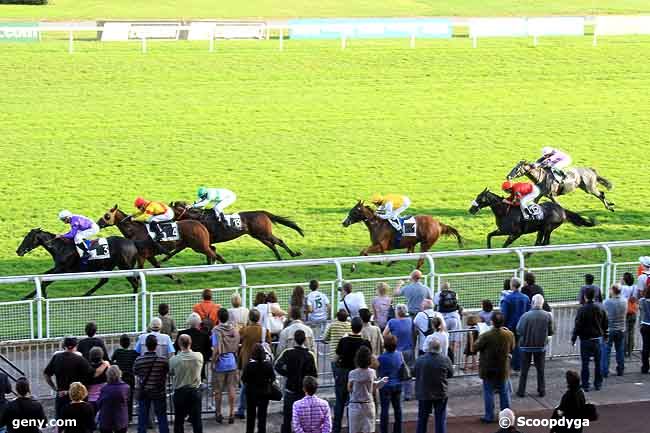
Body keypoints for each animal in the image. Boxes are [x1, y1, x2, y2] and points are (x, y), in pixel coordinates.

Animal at [171, 200, 306, 260]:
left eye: (171, 210)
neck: (200, 218)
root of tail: (262, 212)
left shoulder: (203, 243)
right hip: (258, 235)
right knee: (272, 245)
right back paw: (280, 258)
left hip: (264, 233)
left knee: (279, 241)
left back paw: (293, 254)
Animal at [468, 187, 596, 248]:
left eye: (480, 198)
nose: (471, 210)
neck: (505, 211)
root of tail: (562, 209)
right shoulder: (502, 230)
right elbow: (489, 235)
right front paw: (489, 251)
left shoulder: (516, 233)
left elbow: (505, 245)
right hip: (542, 229)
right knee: (541, 242)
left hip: (547, 227)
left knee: (543, 242)